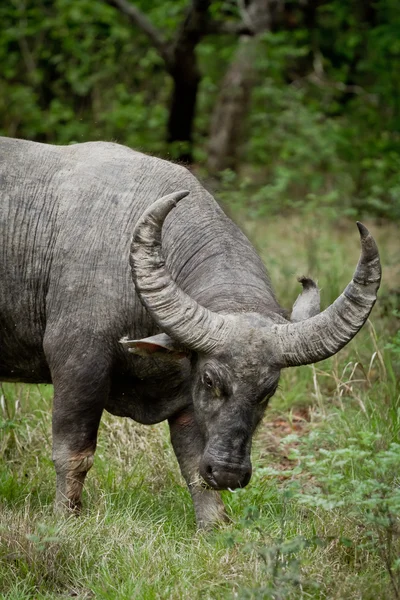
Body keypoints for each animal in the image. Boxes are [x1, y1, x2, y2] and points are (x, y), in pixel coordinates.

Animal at [0, 138, 382, 528]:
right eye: (211, 380)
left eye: (268, 391)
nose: (229, 472)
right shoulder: (78, 366)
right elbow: (73, 453)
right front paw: (65, 517)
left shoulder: (185, 398)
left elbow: (193, 464)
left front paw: (213, 525)